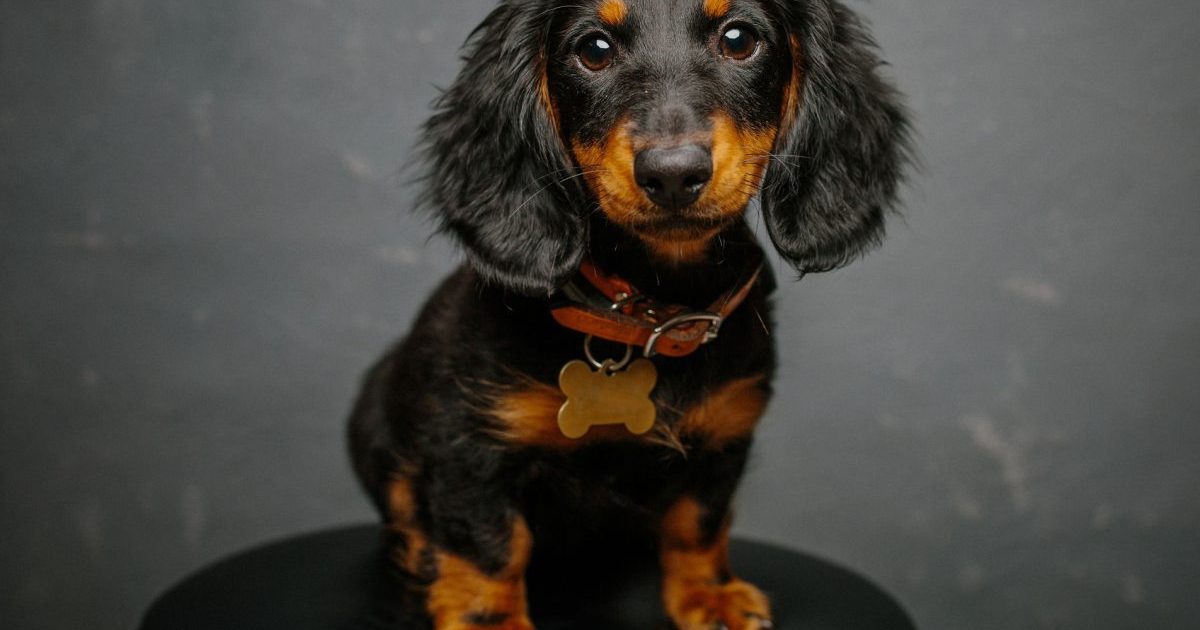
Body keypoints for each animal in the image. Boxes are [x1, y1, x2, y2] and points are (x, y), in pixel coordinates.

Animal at [348, 1, 907, 628]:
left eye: (739, 39)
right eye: (593, 49)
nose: (672, 173)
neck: (648, 310)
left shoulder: (724, 434)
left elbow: (698, 521)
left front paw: (709, 595)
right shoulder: (469, 441)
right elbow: (490, 544)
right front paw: (487, 617)